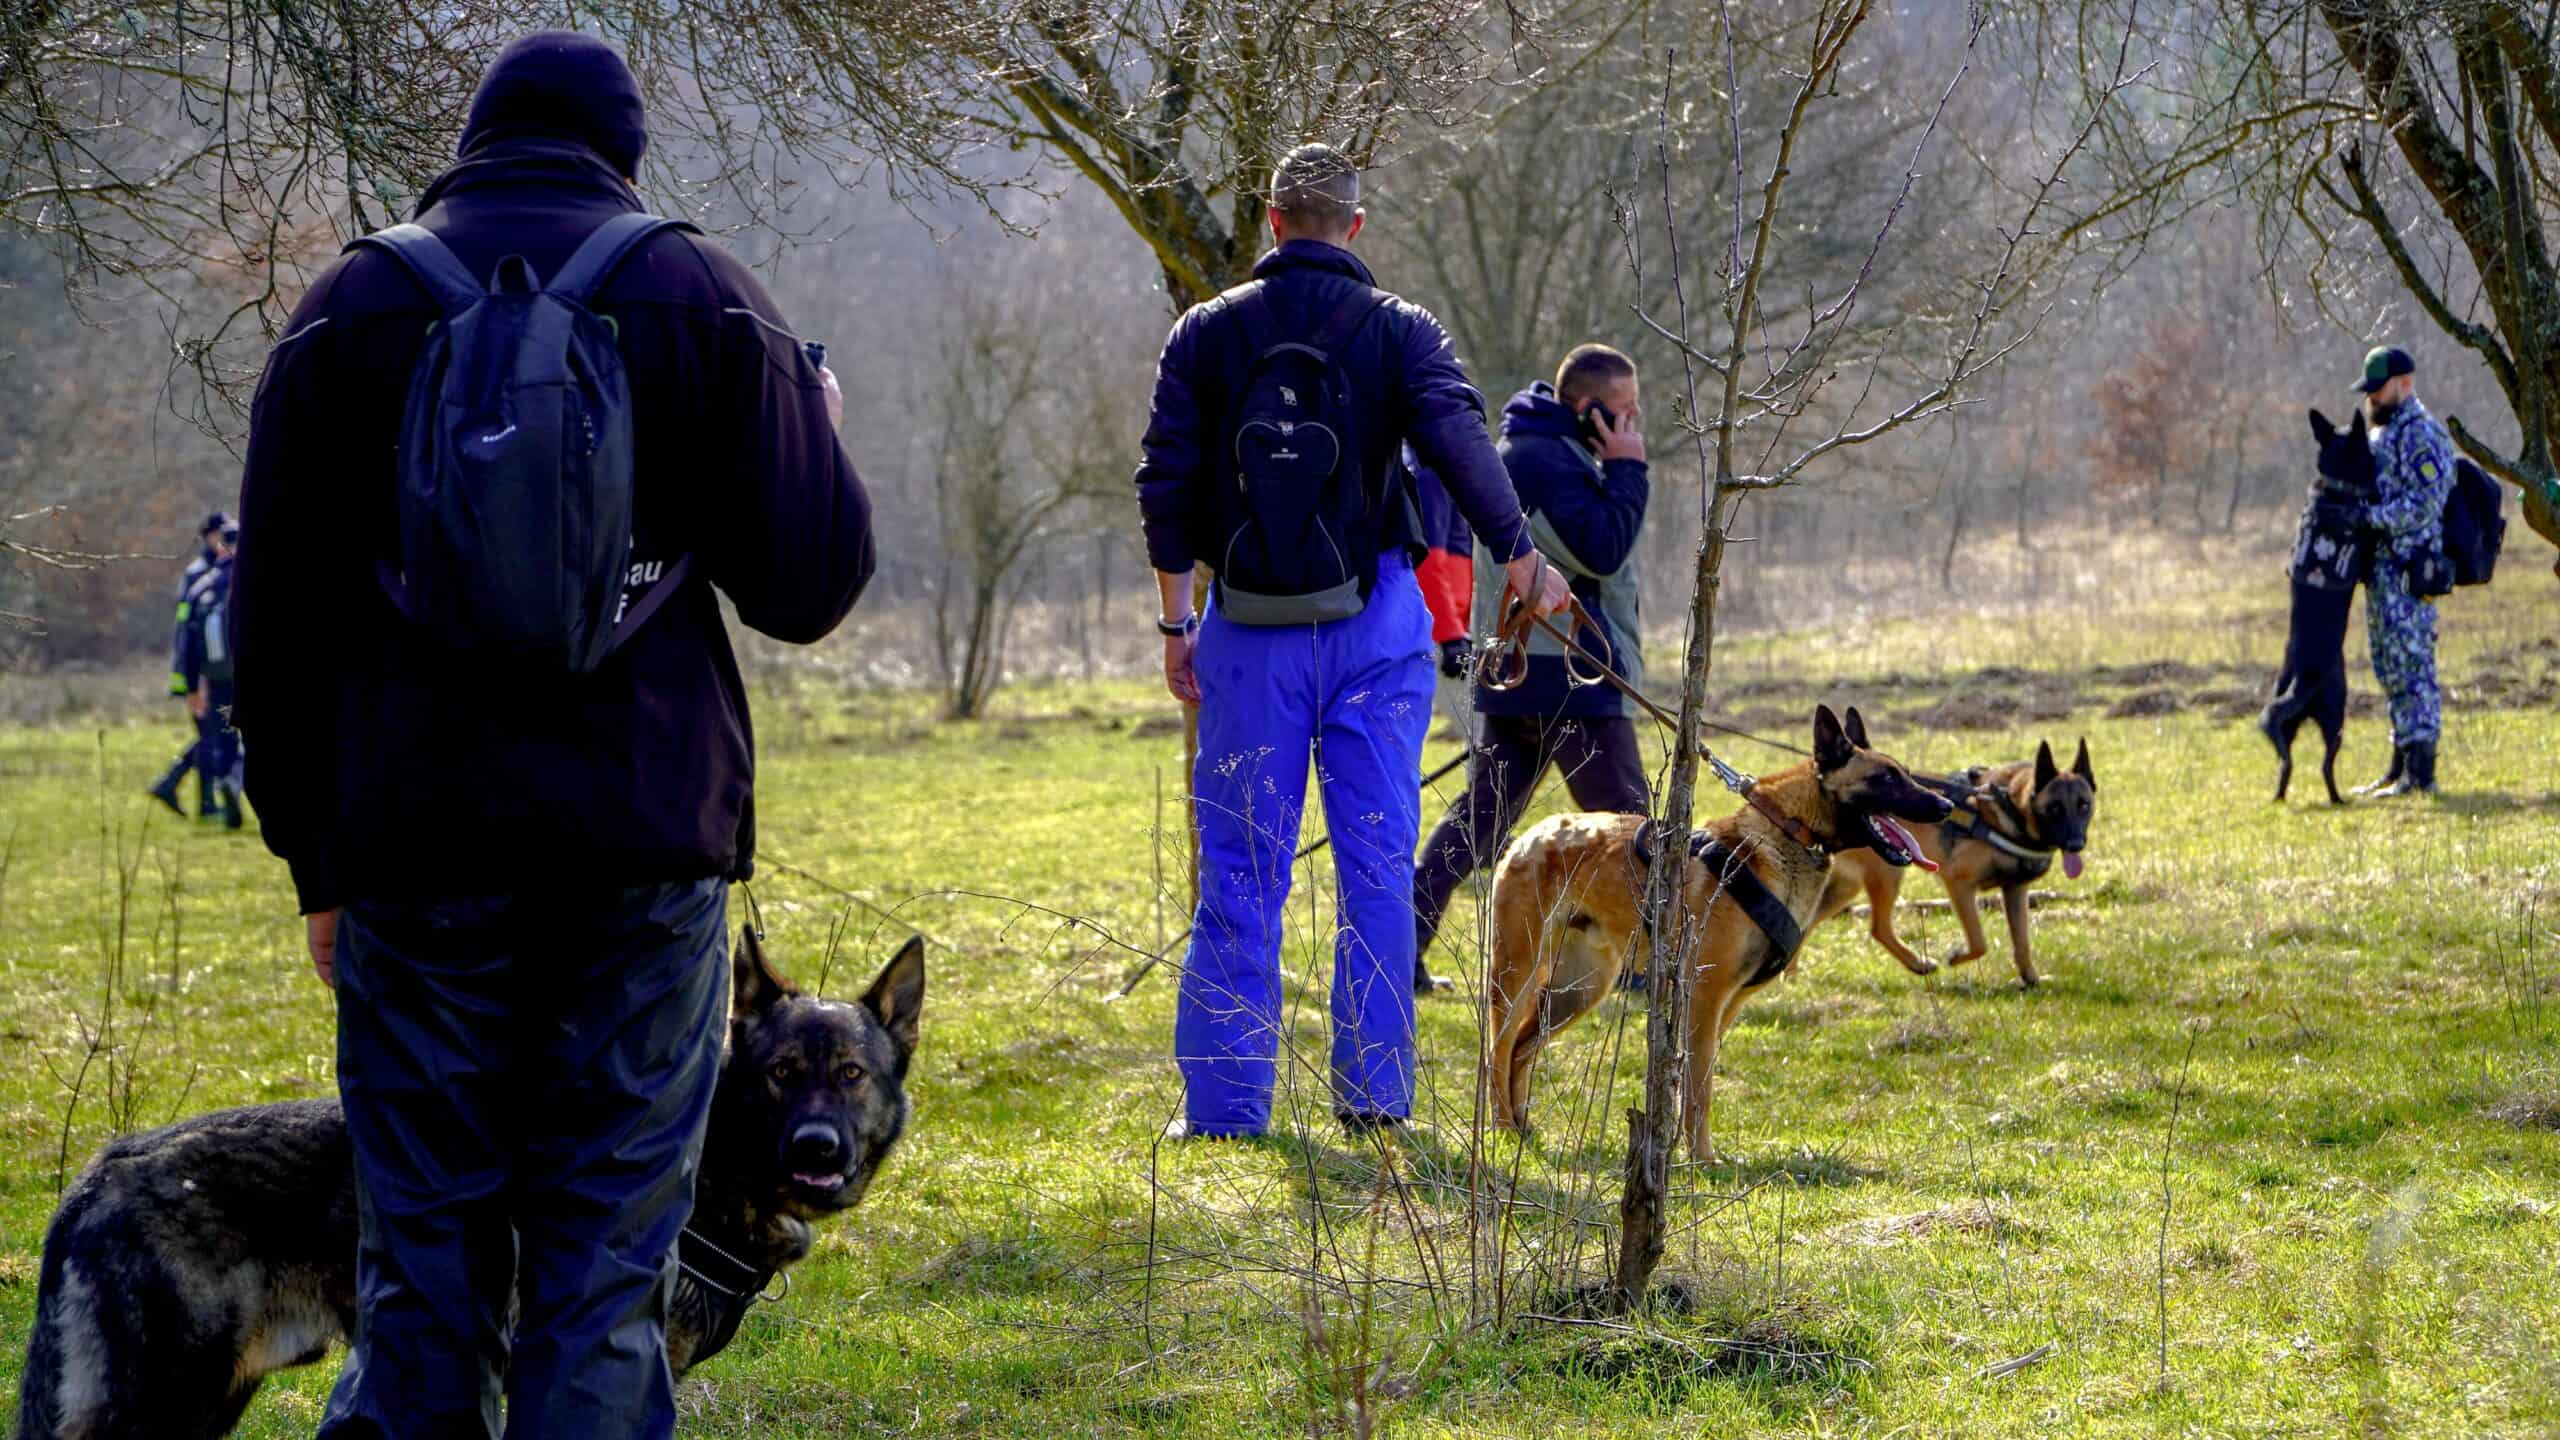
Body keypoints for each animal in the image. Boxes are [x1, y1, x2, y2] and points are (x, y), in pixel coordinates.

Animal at [1474, 702, 1945, 1158]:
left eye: (1903, 771)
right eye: (1885, 777)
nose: (1944, 805)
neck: (1790, 831)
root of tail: (1531, 835)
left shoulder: (1725, 1008)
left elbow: (1691, 1082)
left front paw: (1683, 1148)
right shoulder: (1706, 998)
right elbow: (1700, 1089)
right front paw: (1702, 1158)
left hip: (1579, 990)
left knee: (1522, 1049)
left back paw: (1521, 1125)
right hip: (1518, 976)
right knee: (1497, 1049)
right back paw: (1501, 1127)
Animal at [1812, 732, 2088, 978]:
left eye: (2085, 805)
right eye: (2055, 808)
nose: (2076, 844)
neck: (2009, 807)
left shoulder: (2015, 890)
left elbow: (2022, 941)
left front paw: (2030, 978)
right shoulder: (1958, 882)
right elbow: (1979, 942)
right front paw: (1956, 957)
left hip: (1846, 887)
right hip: (1888, 874)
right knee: (1878, 927)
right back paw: (1917, 963)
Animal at [2263, 409, 2375, 799]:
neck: (2335, 488)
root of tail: (2303, 679)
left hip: (2290, 718)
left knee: (2285, 761)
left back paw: (2280, 795)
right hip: (2337, 715)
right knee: (2326, 765)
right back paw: (2338, 799)